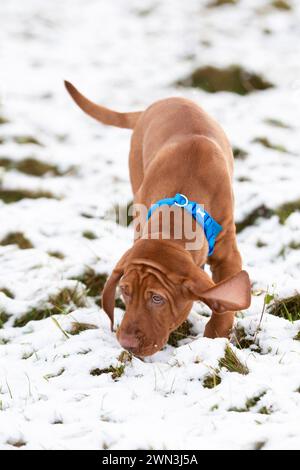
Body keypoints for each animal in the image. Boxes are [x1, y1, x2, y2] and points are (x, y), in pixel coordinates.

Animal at [65, 83, 251, 356]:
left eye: (157, 298)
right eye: (125, 292)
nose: (127, 344)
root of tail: (155, 105)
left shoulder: (227, 252)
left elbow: (224, 301)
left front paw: (215, 338)